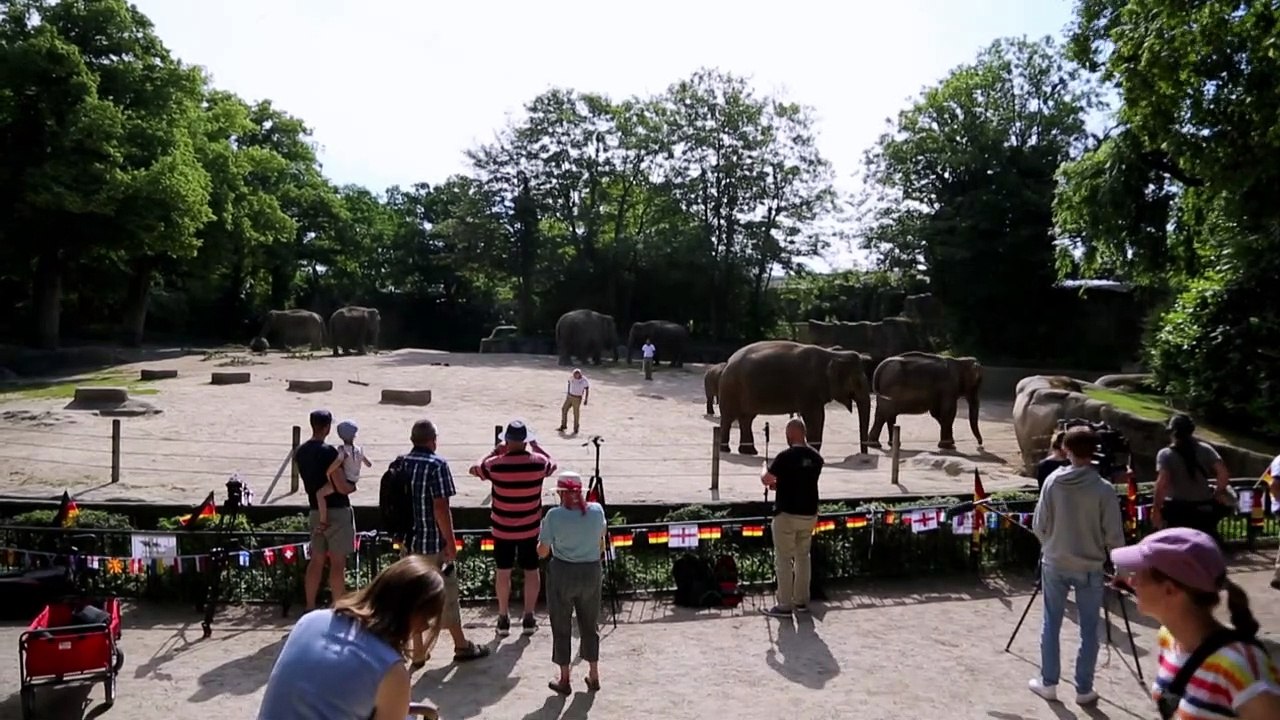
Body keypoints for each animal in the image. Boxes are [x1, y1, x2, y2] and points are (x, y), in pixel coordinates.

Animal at [717, 341, 871, 455]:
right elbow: (816, 417)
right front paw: (813, 450)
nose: (862, 454)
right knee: (729, 417)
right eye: (858, 382)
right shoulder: (808, 390)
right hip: (730, 389)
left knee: (746, 418)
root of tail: (728, 361)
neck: (832, 354)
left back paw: (749, 452)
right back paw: (725, 449)